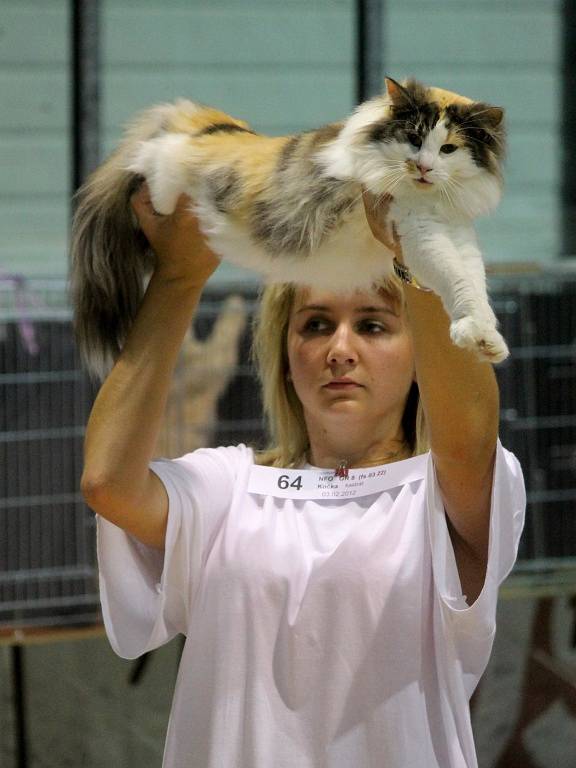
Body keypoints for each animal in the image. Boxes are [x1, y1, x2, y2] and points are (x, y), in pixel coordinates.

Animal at [71, 77, 508, 378]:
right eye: (414, 139)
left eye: (448, 149)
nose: (423, 167)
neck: (431, 199)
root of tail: (214, 124)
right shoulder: (417, 229)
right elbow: (452, 275)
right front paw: (475, 332)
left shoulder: (455, 232)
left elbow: (472, 283)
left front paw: (484, 338)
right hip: (174, 166)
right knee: (152, 154)